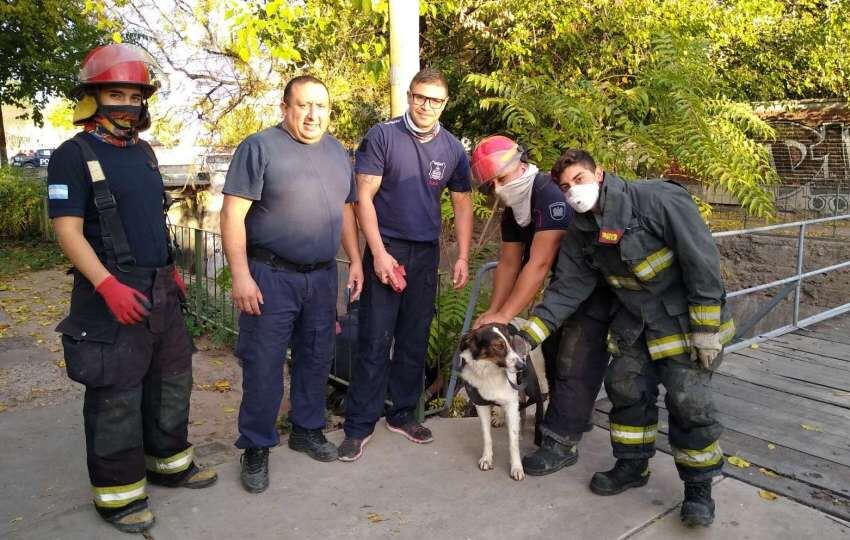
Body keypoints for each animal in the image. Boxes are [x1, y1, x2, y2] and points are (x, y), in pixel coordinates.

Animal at [458, 322, 544, 484]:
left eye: (511, 343)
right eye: (498, 346)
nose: (522, 366)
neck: (490, 371)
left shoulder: (511, 403)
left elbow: (513, 441)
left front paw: (517, 468)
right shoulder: (481, 404)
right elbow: (486, 436)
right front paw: (487, 458)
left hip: (533, 385)